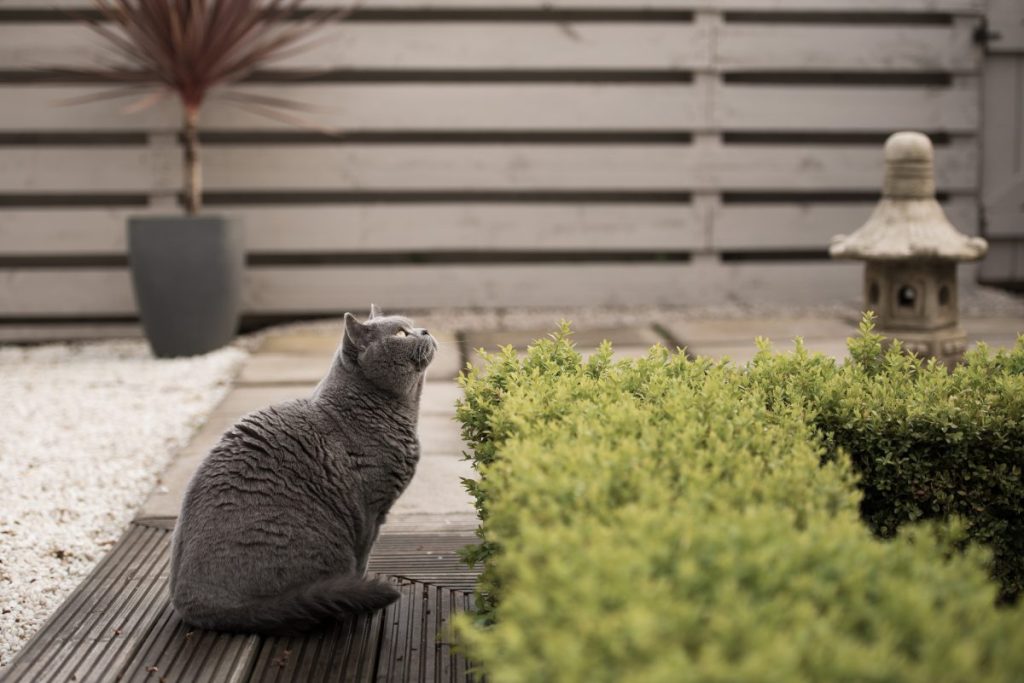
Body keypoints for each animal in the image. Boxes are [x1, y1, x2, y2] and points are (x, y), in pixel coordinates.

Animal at [166, 305, 436, 634]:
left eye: (413, 326)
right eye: (400, 333)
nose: (425, 330)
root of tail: (190, 604)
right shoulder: (371, 510)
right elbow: (363, 557)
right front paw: (360, 583)